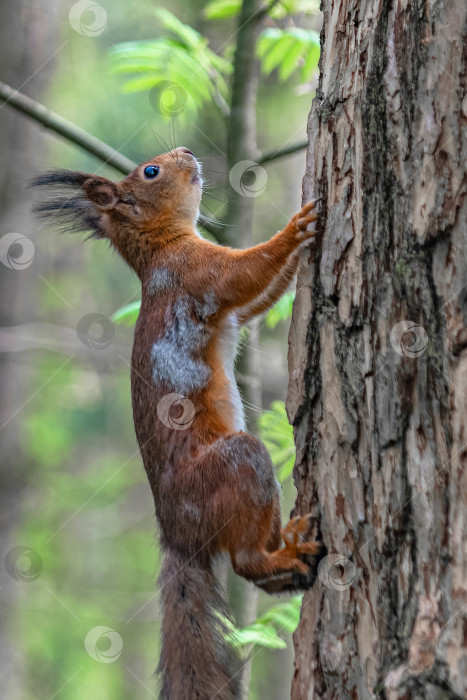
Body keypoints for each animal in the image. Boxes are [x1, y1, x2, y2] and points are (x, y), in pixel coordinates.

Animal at [32, 146, 322, 696]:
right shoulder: (199, 272)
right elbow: (247, 273)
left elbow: (257, 296)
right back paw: (276, 554)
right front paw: (297, 227)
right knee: (246, 562)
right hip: (235, 465)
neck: (161, 250)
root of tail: (178, 536)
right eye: (151, 171)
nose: (186, 152)